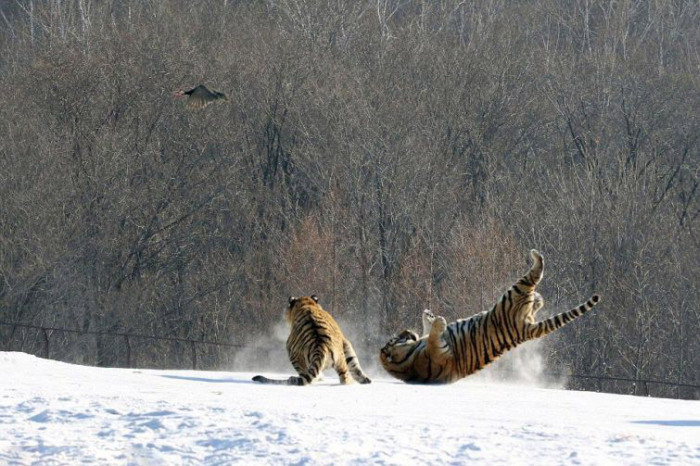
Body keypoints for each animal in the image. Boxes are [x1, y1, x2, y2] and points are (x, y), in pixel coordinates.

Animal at [380, 249, 600, 384]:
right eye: (397, 337)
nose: (407, 331)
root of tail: (525, 328)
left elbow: (428, 329)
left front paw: (429, 315)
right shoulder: (440, 354)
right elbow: (434, 337)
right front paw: (439, 321)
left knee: (536, 299)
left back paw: (539, 296)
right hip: (513, 295)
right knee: (535, 274)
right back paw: (536, 257)